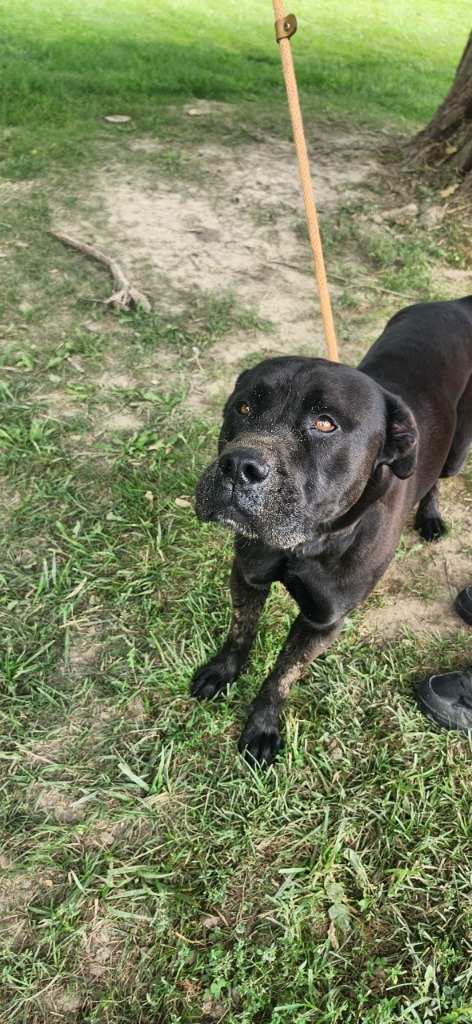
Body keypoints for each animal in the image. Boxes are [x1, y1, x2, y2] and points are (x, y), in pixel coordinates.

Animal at [189, 296, 470, 761]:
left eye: (325, 423)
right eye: (243, 408)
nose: (238, 466)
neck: (308, 544)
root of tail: (456, 302)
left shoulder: (322, 622)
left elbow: (283, 675)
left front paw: (262, 725)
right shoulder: (247, 576)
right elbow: (240, 631)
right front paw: (222, 671)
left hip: (457, 451)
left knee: (435, 480)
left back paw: (429, 517)